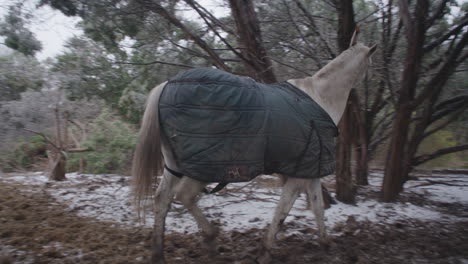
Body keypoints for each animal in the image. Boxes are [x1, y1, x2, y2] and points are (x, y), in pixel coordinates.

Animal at [132, 31, 376, 264]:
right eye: (369, 62)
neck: (320, 98)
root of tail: (167, 85)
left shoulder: (310, 172)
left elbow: (317, 209)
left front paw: (326, 244)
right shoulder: (298, 176)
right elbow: (282, 211)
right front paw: (264, 252)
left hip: (175, 166)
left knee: (161, 199)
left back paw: (158, 254)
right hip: (202, 169)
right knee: (185, 196)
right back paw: (210, 237)